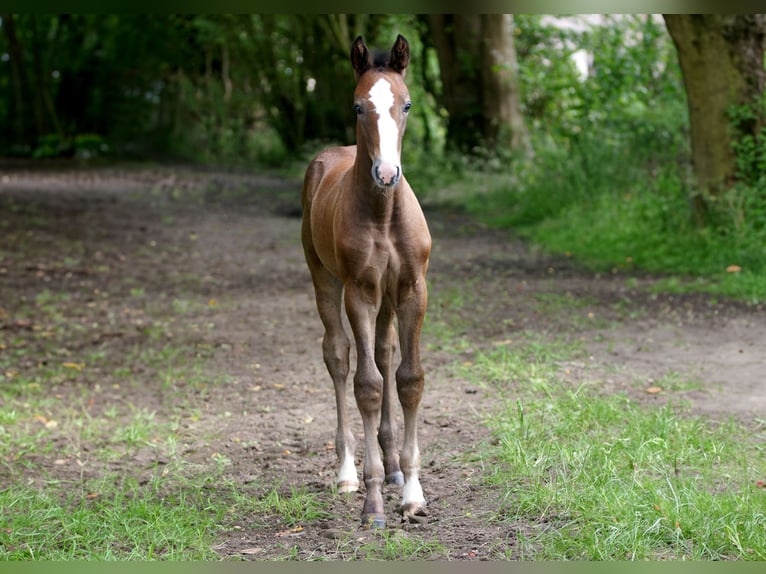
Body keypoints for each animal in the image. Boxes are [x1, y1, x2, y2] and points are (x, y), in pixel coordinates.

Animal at [300, 35, 432, 532]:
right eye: (359, 107)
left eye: (406, 104)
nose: (387, 174)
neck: (384, 214)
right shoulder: (360, 290)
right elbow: (368, 386)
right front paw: (373, 504)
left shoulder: (413, 288)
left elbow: (408, 378)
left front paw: (412, 494)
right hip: (324, 278)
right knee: (339, 356)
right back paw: (346, 473)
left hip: (389, 300)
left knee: (384, 350)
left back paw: (392, 467)